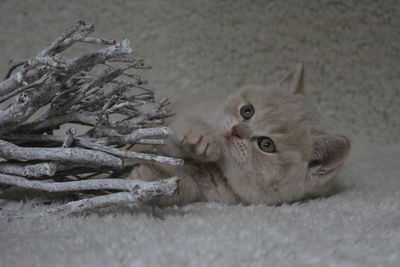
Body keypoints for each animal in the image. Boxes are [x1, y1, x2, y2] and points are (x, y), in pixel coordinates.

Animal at [131, 64, 350, 207]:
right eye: (247, 111)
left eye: (266, 144)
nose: (236, 130)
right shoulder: (183, 115)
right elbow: (176, 128)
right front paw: (202, 137)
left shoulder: (213, 194)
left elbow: (186, 189)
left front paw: (149, 181)